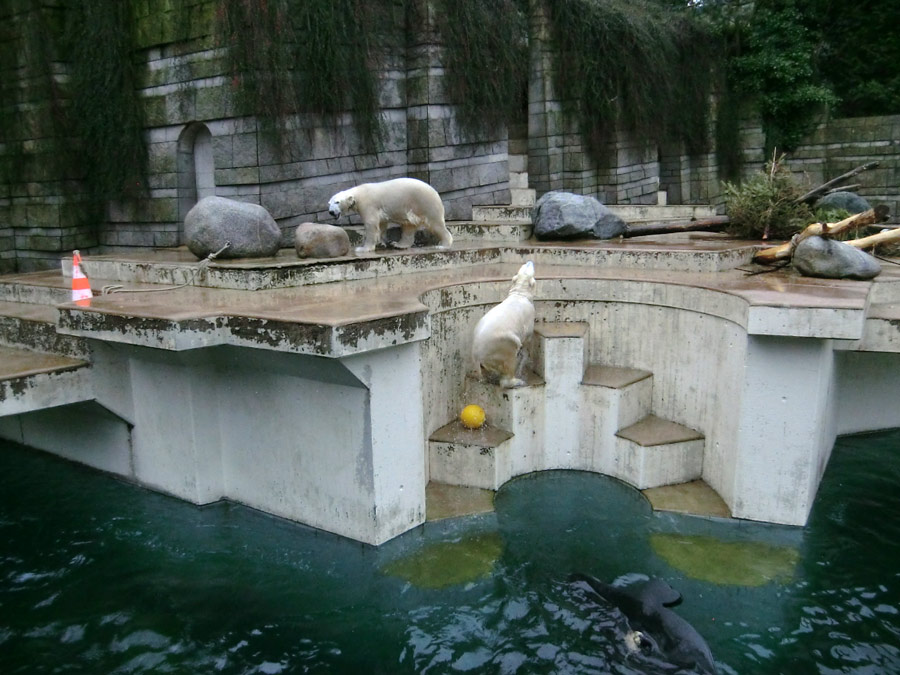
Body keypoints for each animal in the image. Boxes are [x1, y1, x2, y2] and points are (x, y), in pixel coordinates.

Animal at [326, 177, 454, 256]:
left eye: (337, 202)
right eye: (329, 203)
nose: (331, 212)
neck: (358, 194)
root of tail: (435, 192)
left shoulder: (368, 205)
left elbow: (371, 224)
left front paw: (363, 248)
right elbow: (381, 224)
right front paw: (382, 242)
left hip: (425, 203)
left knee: (436, 224)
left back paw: (443, 245)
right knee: (408, 226)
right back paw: (398, 244)